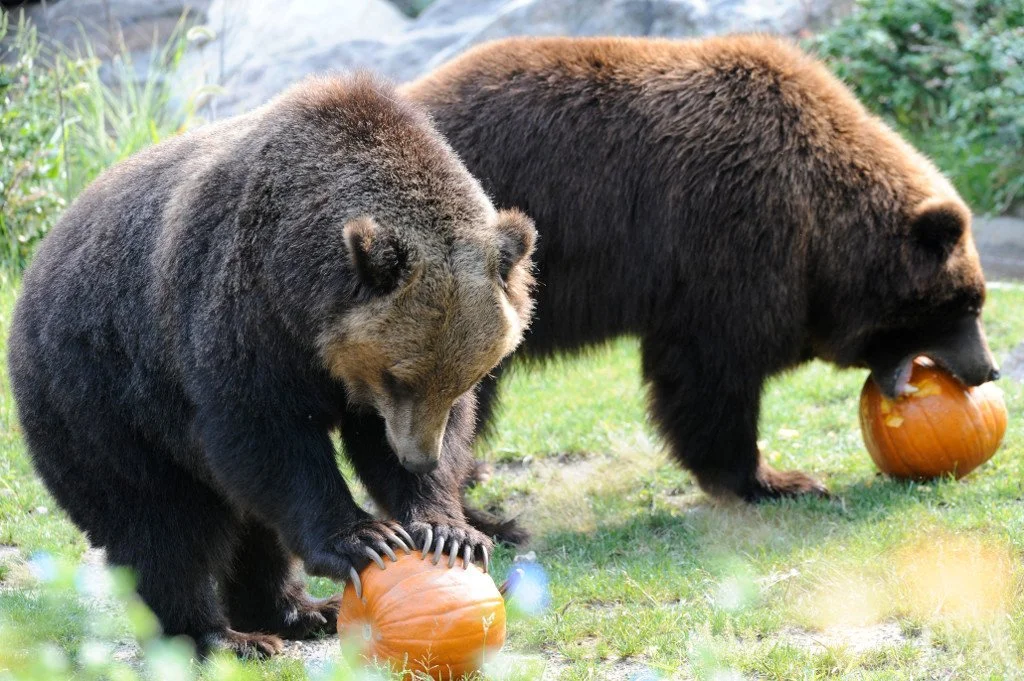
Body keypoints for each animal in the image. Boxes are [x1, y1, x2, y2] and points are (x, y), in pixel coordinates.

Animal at [7, 73, 536, 657]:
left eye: (469, 376)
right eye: (398, 376)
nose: (419, 458)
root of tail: (35, 267)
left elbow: (387, 441)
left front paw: (448, 530)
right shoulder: (240, 313)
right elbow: (266, 434)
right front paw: (364, 538)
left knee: (248, 531)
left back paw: (301, 611)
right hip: (102, 399)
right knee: (160, 524)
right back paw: (220, 635)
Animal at [403, 35, 1000, 503]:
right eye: (965, 304)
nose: (989, 369)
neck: (820, 226)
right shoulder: (730, 237)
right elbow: (712, 370)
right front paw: (778, 479)